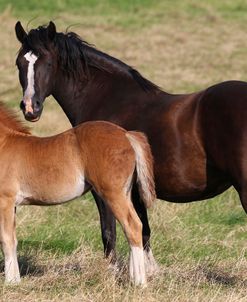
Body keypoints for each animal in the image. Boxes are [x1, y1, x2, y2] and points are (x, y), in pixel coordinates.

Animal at [0, 102, 155, 284]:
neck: (4, 144)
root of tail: (126, 134)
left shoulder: (5, 201)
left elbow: (6, 240)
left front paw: (11, 282)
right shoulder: (12, 205)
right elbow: (13, 239)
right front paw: (16, 279)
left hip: (113, 194)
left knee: (133, 226)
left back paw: (139, 282)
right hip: (125, 193)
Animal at [14, 20, 247, 272]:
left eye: (48, 62)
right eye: (19, 63)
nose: (30, 107)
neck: (109, 99)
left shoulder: (104, 190)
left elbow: (110, 232)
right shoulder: (135, 191)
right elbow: (143, 231)